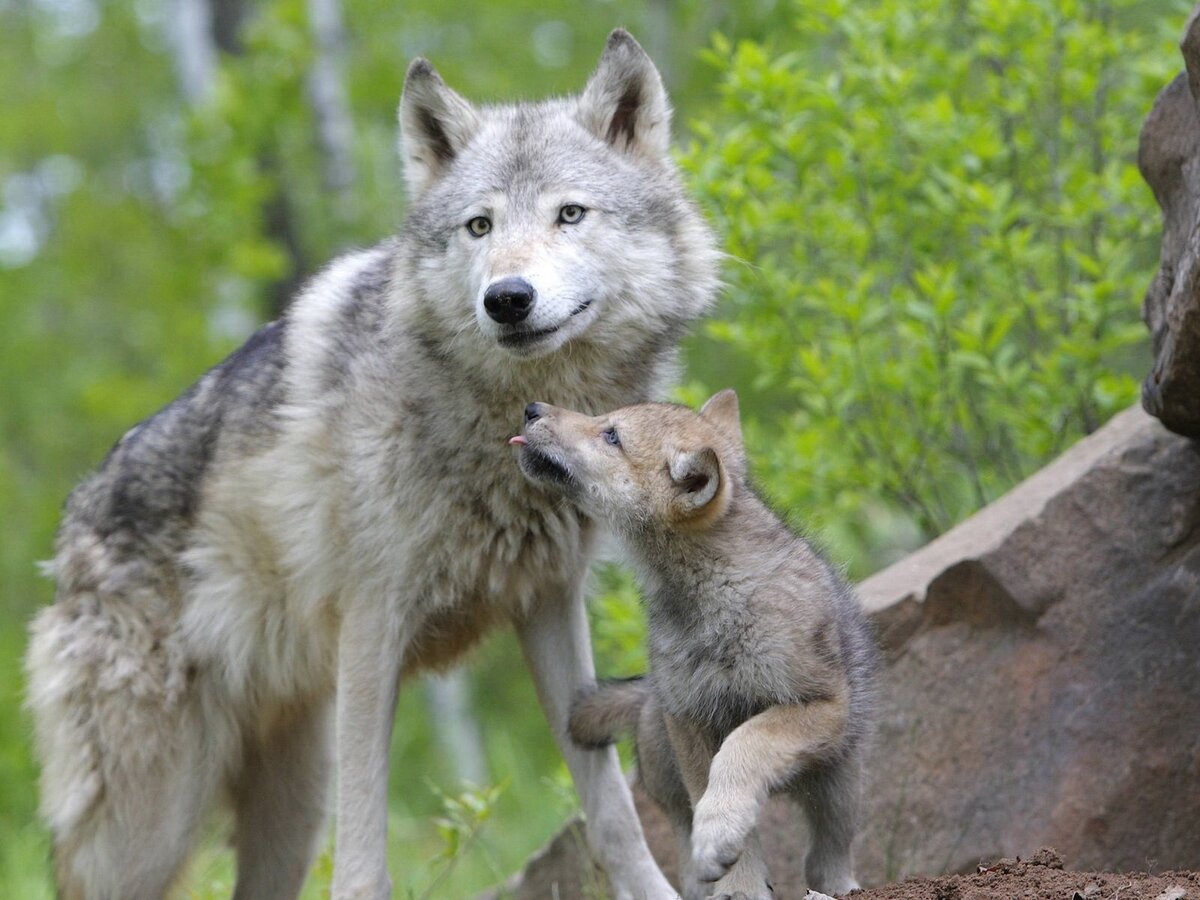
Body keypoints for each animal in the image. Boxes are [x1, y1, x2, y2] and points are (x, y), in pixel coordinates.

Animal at [28, 28, 715, 900]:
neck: (502, 424)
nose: (507, 298)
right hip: (150, 824)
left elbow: (613, 816)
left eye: (570, 214)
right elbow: (363, 859)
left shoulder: (550, 606)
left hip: (289, 802)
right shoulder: (372, 629)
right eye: (479, 226)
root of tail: (71, 529)